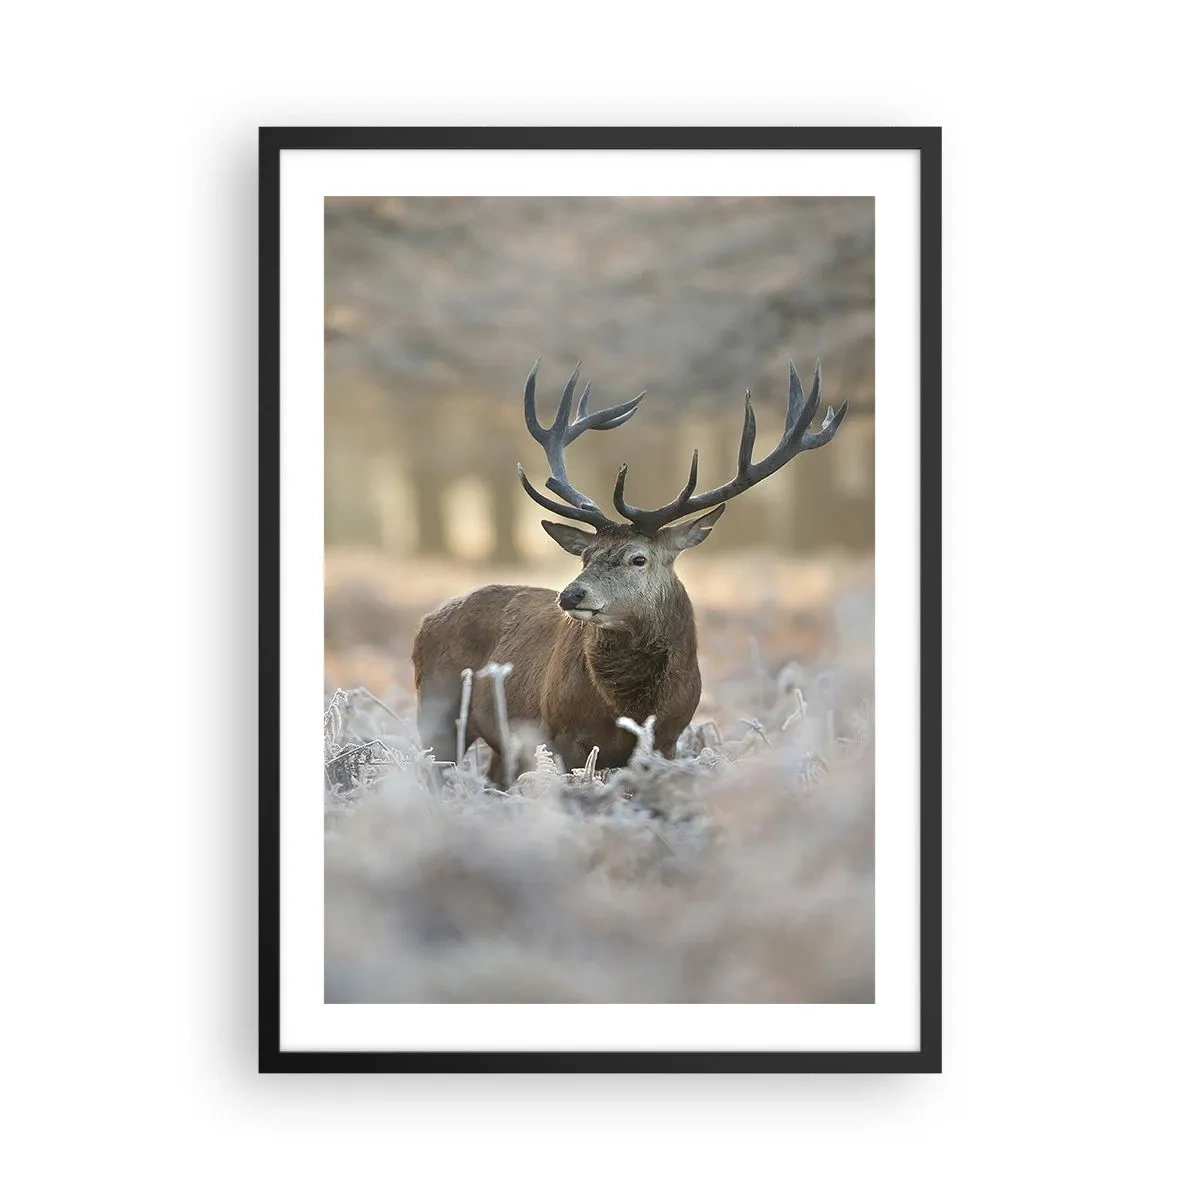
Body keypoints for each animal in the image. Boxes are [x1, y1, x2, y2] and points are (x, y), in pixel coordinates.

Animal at [412, 358, 847, 785]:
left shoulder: (668, 739)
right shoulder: (562, 735)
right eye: (586, 556)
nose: (571, 594)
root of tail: (426, 621)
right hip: (436, 710)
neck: (632, 706)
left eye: (639, 558)